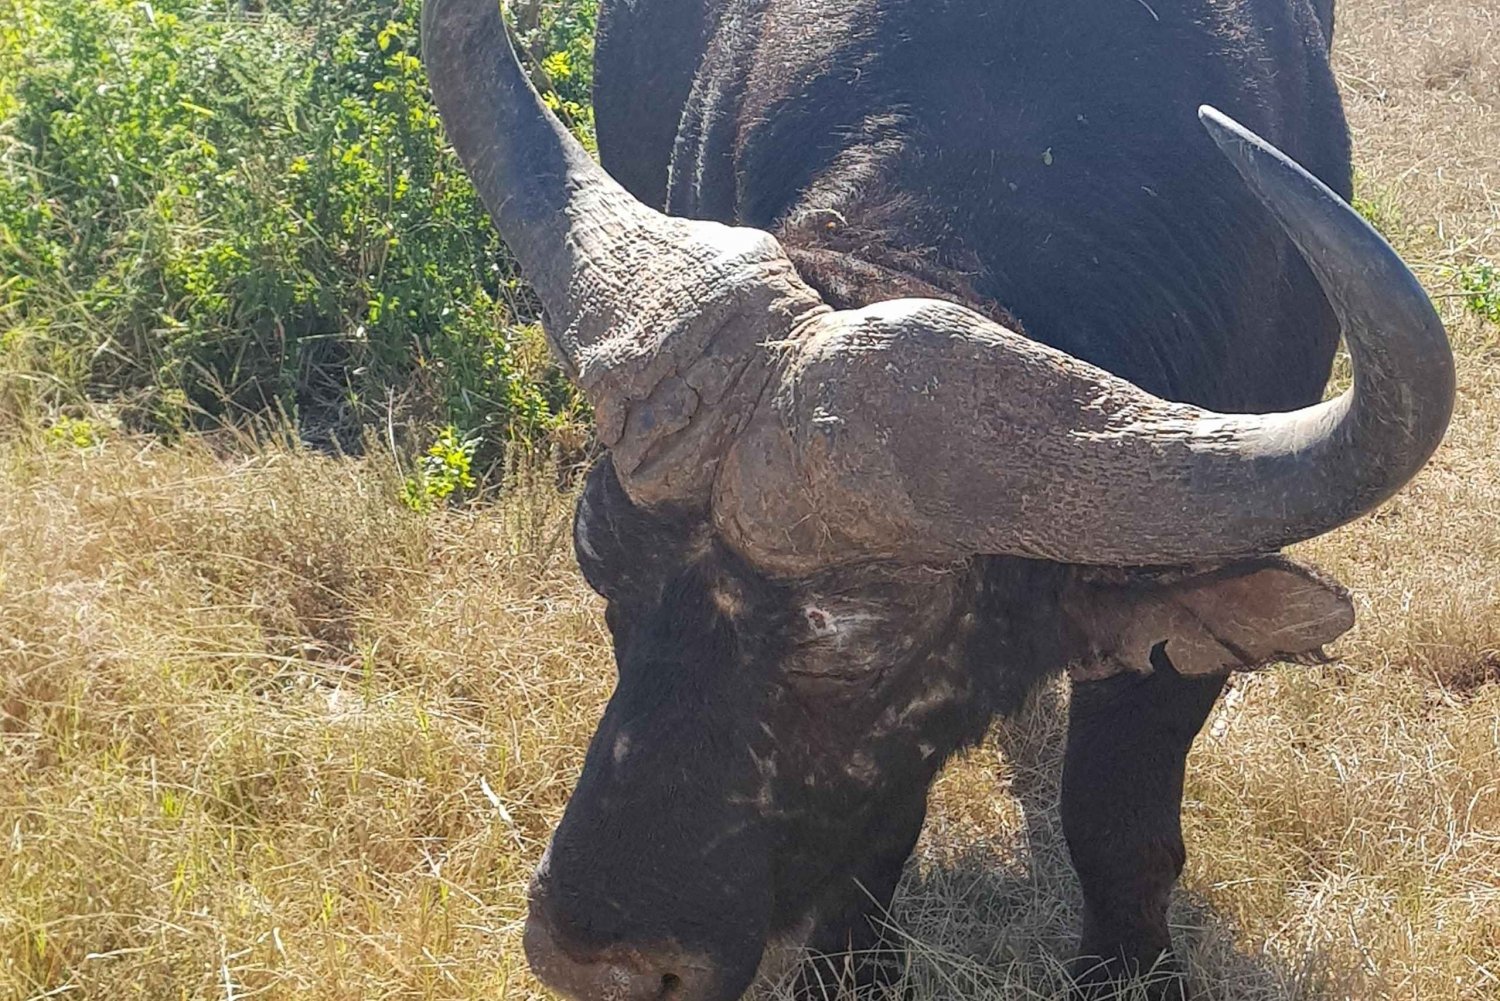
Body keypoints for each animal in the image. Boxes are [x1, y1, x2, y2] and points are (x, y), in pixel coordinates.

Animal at [417, 0, 1446, 996]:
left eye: (865, 651)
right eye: (599, 563)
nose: (591, 958)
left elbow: (1117, 823)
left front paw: (1128, 970)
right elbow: (879, 836)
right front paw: (852, 968)